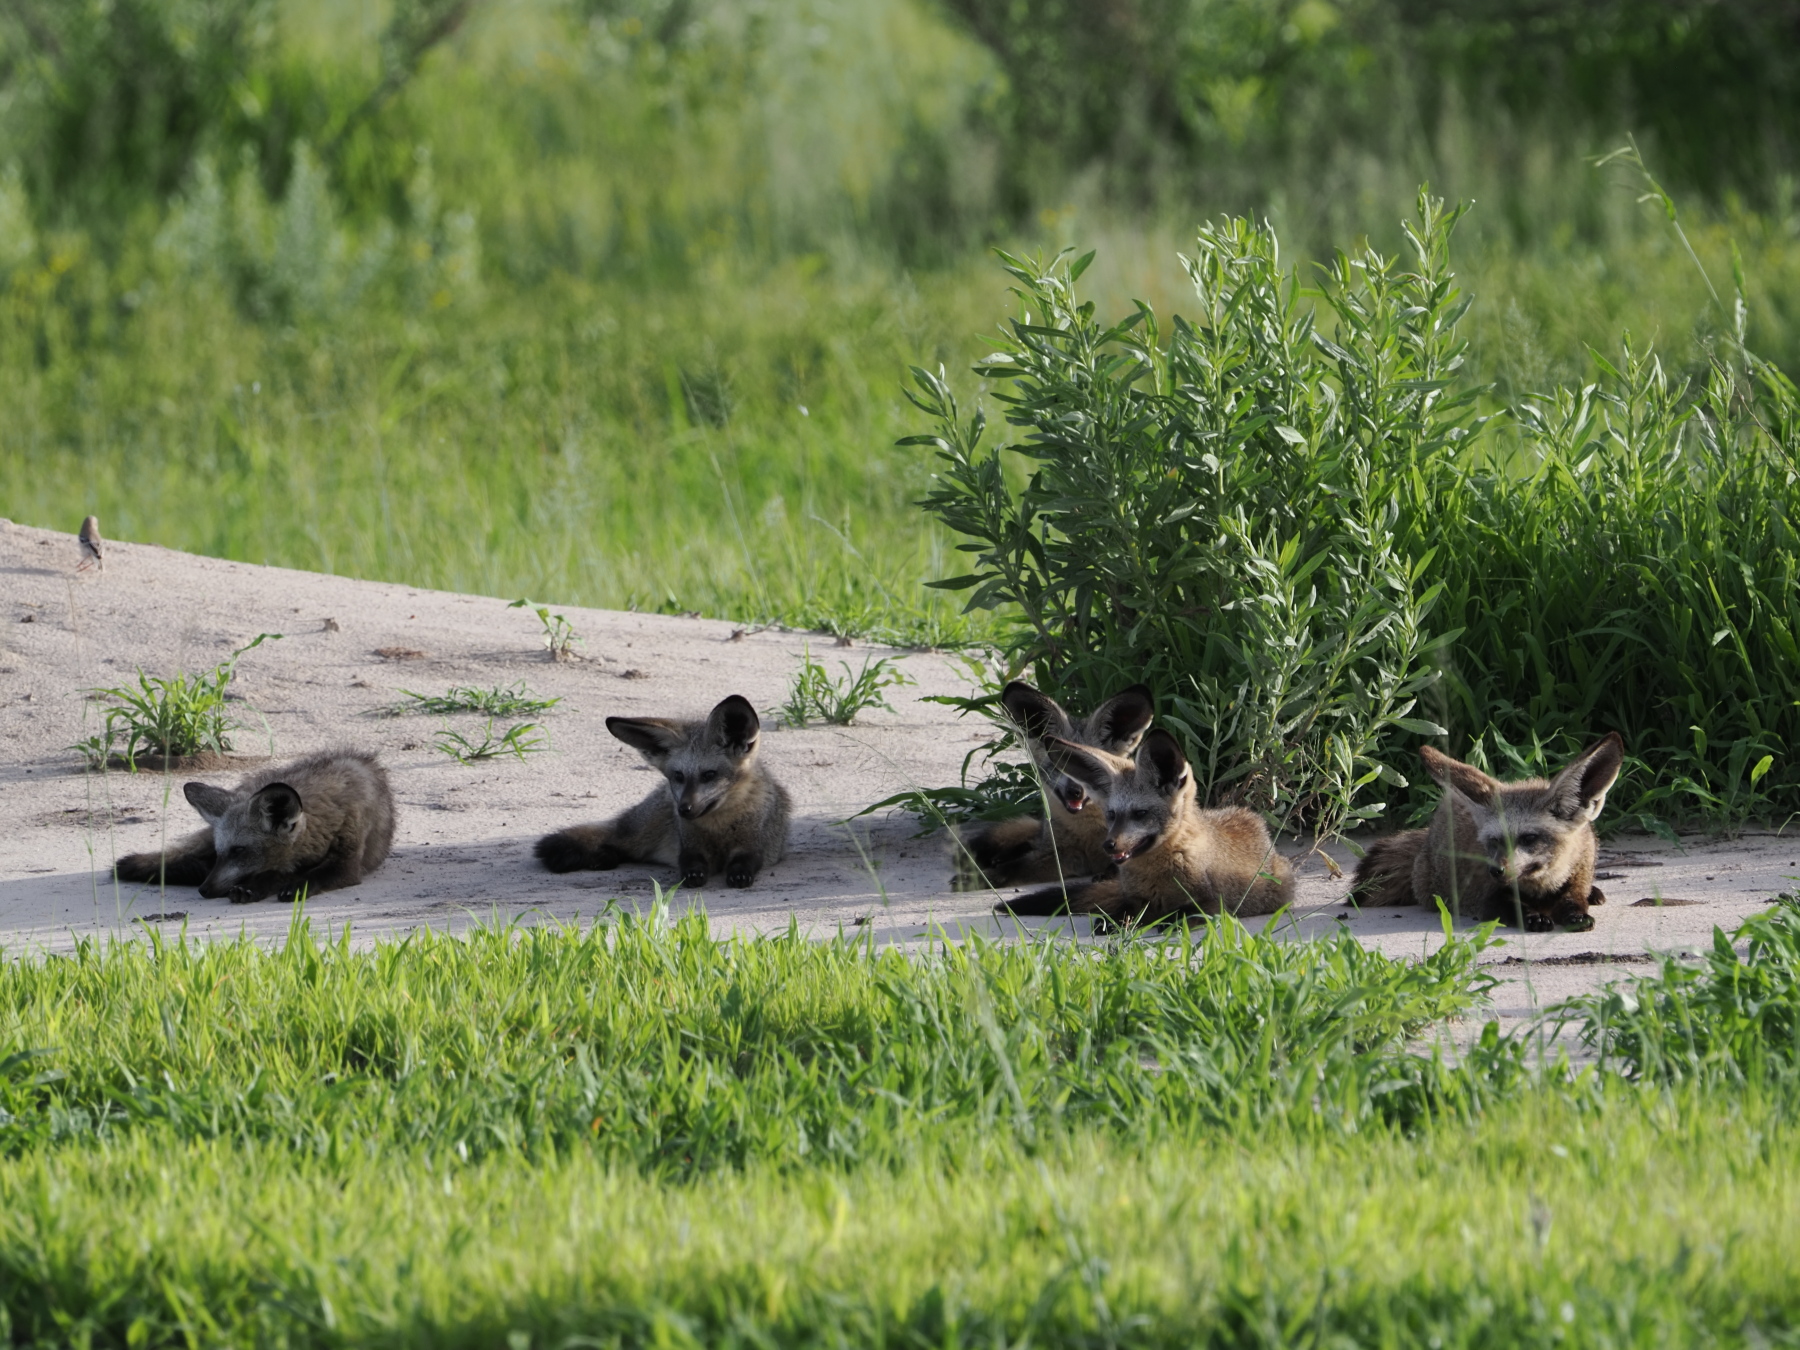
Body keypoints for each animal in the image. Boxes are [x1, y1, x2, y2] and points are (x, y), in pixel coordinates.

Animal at [113, 749, 395, 903]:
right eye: (221, 853)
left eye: (238, 851)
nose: (203, 890)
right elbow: (275, 873)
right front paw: (254, 886)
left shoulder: (347, 863)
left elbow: (312, 876)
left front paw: (294, 886)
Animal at [535, 693, 789, 889]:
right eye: (678, 776)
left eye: (709, 775)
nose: (684, 809)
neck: (719, 826)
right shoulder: (690, 845)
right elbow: (690, 862)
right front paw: (692, 875)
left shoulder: (755, 845)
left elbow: (745, 862)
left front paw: (739, 875)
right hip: (640, 836)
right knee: (614, 841)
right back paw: (603, 857)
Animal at [951, 681, 1155, 891]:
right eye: (1059, 763)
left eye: (1092, 766)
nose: (1075, 791)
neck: (1087, 834)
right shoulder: (1059, 854)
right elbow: (1011, 869)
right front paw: (978, 878)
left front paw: (1110, 874)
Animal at [994, 728, 1294, 928]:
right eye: (1112, 815)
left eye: (1140, 814)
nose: (1109, 845)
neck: (1156, 878)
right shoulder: (1134, 899)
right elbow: (1119, 914)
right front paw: (1112, 924)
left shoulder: (1214, 904)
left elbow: (1183, 915)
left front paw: (1167, 922)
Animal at [1348, 732, 1624, 932]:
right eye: (1493, 841)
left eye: (1529, 838)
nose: (1496, 870)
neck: (1541, 890)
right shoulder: (1487, 899)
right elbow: (1511, 908)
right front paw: (1533, 917)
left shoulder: (1578, 875)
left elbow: (1573, 900)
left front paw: (1577, 914)